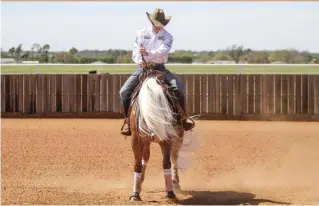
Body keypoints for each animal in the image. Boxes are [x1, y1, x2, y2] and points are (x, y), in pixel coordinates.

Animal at [125, 65, 198, 203]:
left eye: (166, 96)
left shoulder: (167, 140)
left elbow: (166, 163)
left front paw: (170, 193)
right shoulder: (136, 140)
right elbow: (137, 164)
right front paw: (135, 194)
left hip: (177, 138)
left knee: (174, 158)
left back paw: (175, 183)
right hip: (146, 141)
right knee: (145, 158)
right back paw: (140, 182)